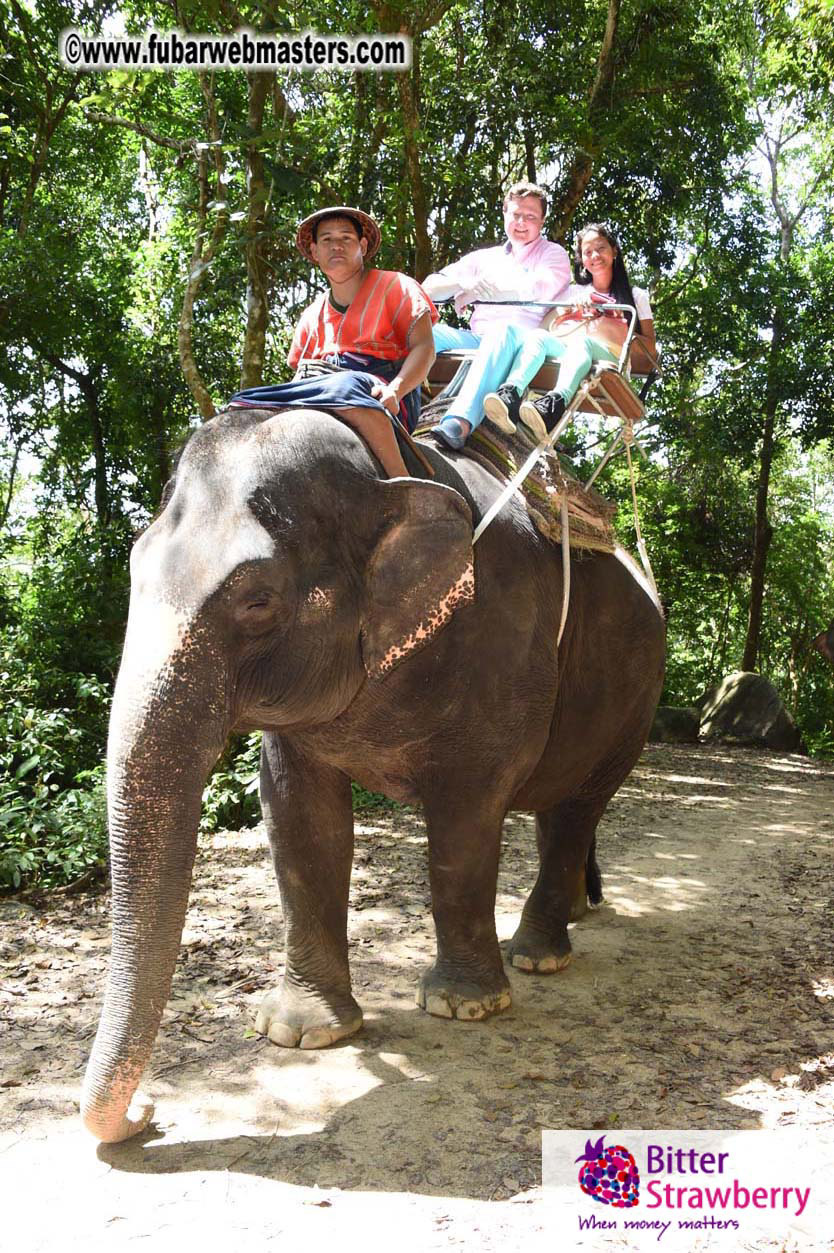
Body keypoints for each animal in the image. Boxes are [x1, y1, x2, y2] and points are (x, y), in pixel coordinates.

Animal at [80, 406, 665, 1143]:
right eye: (135, 570)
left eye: (258, 601)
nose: (148, 1115)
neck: (385, 473)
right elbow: (298, 817)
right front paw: (300, 1031)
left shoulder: (501, 642)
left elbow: (465, 820)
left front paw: (464, 1006)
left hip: (635, 700)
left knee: (576, 807)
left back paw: (537, 956)